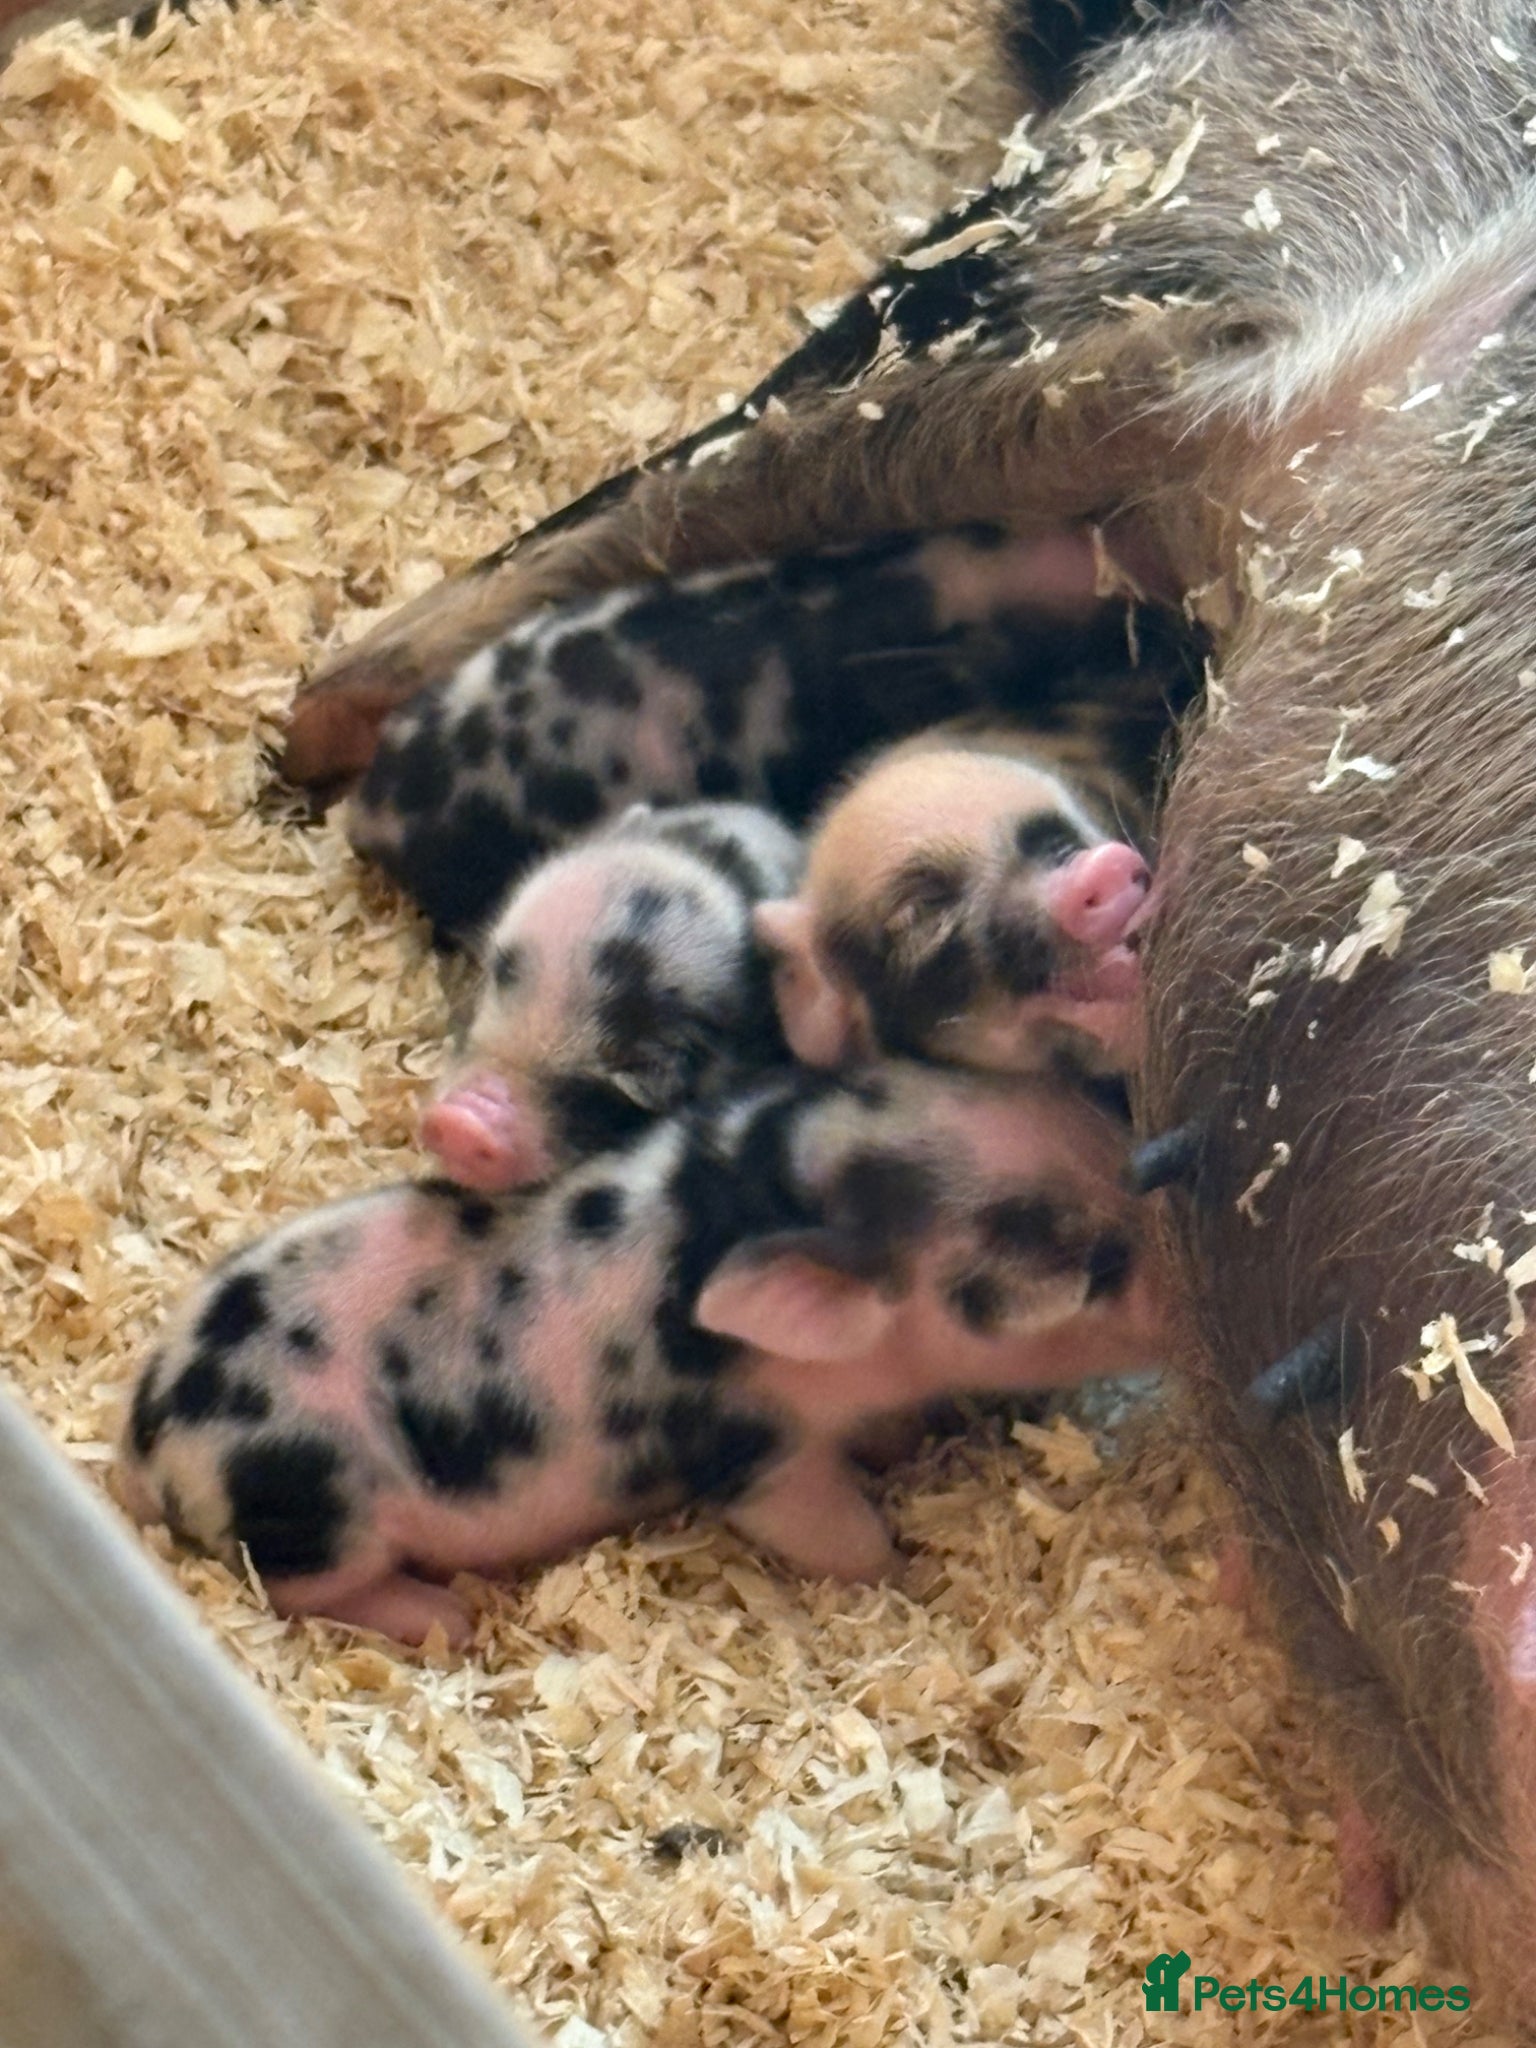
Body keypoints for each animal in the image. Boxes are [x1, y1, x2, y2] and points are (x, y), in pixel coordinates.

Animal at [118, 1062, 1163, 1646]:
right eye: (1087, 1268)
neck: (745, 1193)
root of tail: (149, 1444)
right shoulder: (753, 1455)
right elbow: (831, 1531)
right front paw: (904, 1573)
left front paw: (900, 1450)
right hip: (320, 1509)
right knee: (304, 1590)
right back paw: (448, 1623)